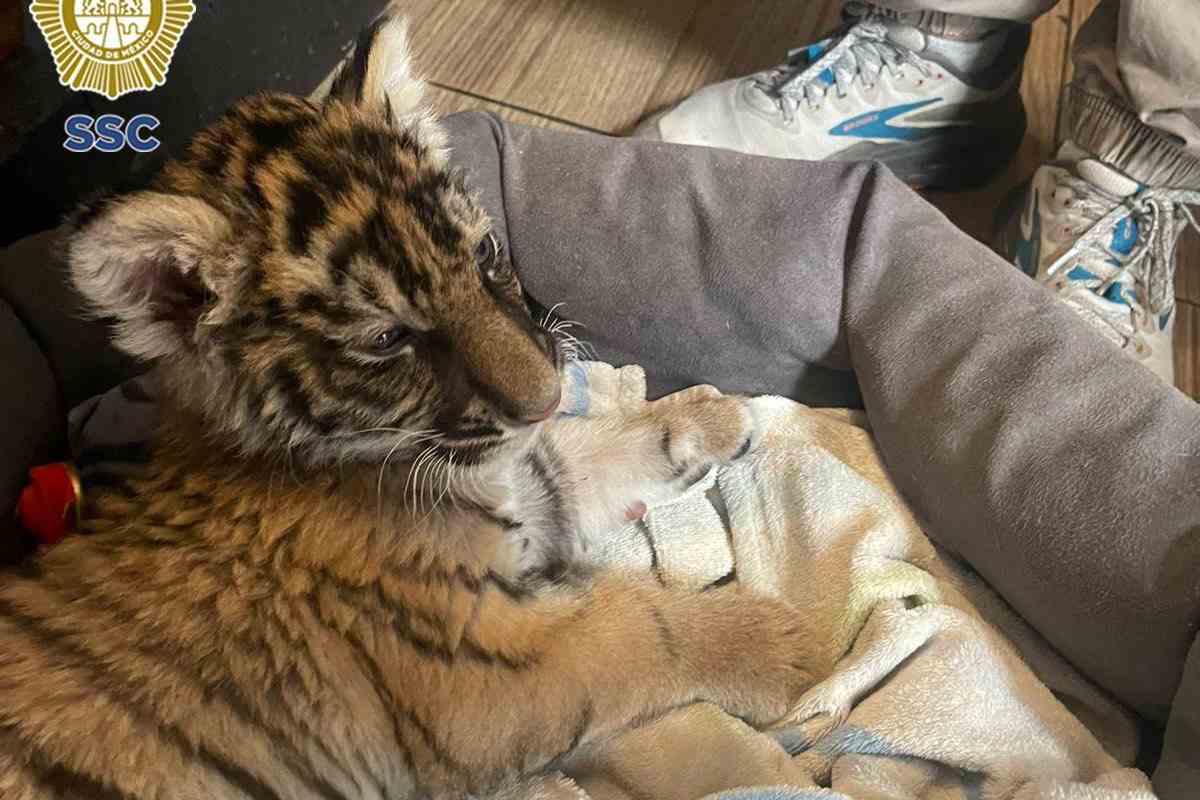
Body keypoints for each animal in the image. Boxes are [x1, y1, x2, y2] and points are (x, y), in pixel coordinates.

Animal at [0, 9, 812, 799]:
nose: (548, 398)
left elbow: (586, 452)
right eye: (390, 338)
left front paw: (716, 416)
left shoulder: (527, 492)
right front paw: (781, 645)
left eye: (483, 255)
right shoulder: (494, 669)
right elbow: (643, 624)